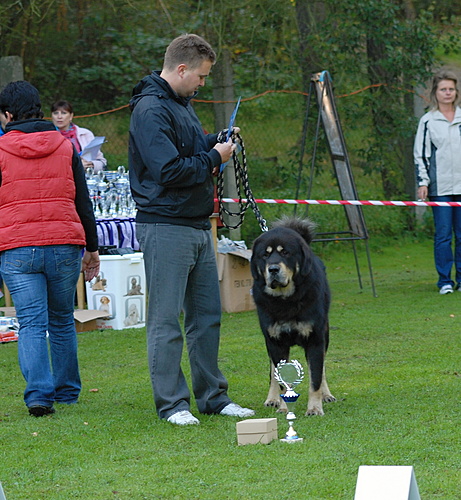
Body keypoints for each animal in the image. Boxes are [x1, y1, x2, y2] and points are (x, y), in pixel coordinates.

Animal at [252, 217, 334, 416]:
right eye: (265, 255)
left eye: (286, 253)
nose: (273, 269)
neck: (286, 300)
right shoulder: (276, 343)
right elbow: (280, 379)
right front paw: (283, 407)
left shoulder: (315, 340)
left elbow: (315, 378)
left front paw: (314, 408)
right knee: (272, 371)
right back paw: (272, 399)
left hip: (325, 335)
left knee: (322, 369)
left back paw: (326, 395)